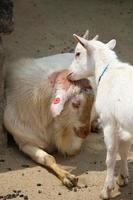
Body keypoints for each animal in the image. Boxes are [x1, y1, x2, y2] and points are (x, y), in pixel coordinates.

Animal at [4, 52, 93, 188]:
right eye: (75, 104)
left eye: (92, 102)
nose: (85, 133)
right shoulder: (24, 141)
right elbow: (47, 158)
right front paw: (66, 176)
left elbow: (72, 149)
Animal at [68, 31, 133, 198]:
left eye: (78, 53)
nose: (68, 74)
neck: (108, 70)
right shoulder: (124, 125)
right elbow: (124, 151)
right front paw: (123, 177)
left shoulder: (109, 121)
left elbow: (111, 156)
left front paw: (106, 189)